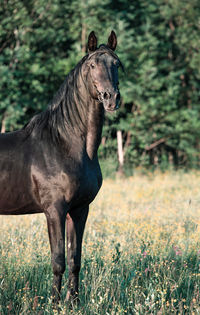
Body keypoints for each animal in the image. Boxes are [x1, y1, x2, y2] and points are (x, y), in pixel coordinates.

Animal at [0, 31, 121, 304]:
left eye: (116, 64)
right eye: (92, 65)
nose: (111, 98)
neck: (64, 143)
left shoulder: (79, 209)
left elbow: (75, 259)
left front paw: (73, 302)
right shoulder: (54, 210)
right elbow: (58, 260)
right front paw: (54, 304)